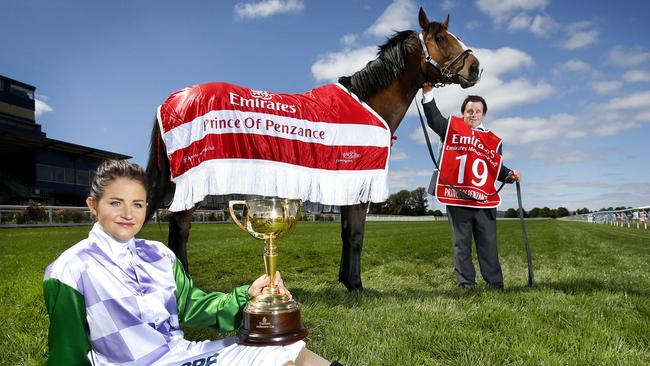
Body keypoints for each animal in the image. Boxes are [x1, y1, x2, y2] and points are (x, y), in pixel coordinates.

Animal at [144, 6, 478, 292]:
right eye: (440, 38)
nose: (475, 67)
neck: (366, 105)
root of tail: (173, 99)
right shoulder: (359, 181)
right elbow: (356, 235)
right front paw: (356, 285)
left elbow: (346, 233)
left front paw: (346, 280)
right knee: (180, 231)